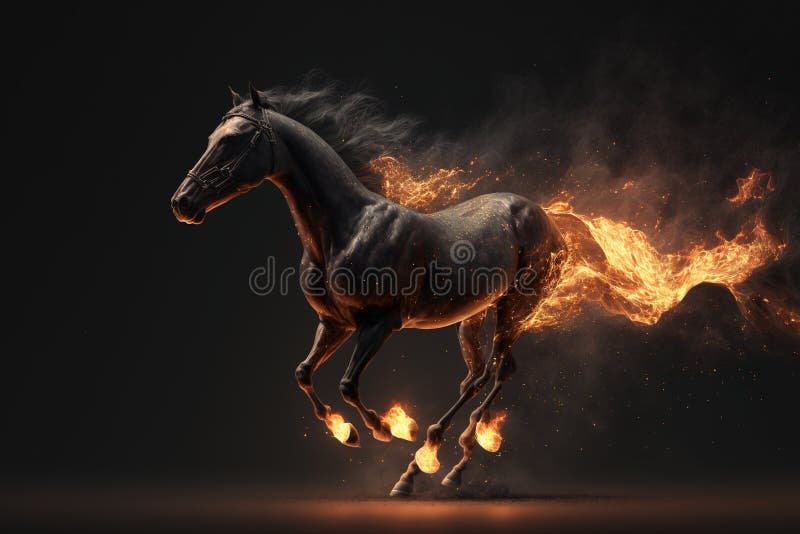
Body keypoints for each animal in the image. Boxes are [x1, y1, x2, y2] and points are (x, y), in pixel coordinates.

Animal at [170, 83, 566, 496]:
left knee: (498, 370)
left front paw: (387, 428)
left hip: (516, 307)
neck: (347, 230)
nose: (182, 202)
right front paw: (346, 431)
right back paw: (423, 466)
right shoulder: (335, 323)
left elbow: (347, 384)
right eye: (212, 137)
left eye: (232, 140)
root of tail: (547, 219)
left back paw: (442, 463)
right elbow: (303, 372)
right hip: (475, 313)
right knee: (477, 377)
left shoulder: (379, 324)